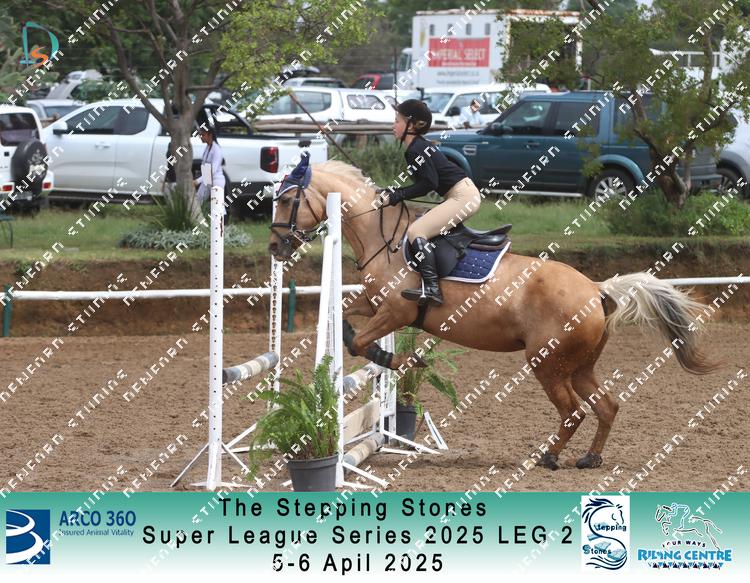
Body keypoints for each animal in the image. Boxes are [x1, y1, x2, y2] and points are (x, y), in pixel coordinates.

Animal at [268, 160, 717, 470]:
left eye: (288, 200)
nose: (275, 247)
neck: (386, 240)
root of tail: (596, 290)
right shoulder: (376, 304)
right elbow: (345, 321)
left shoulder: (397, 310)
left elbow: (361, 342)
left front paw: (406, 360)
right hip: (579, 364)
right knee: (606, 407)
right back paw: (589, 459)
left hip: (547, 363)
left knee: (573, 412)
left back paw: (548, 457)